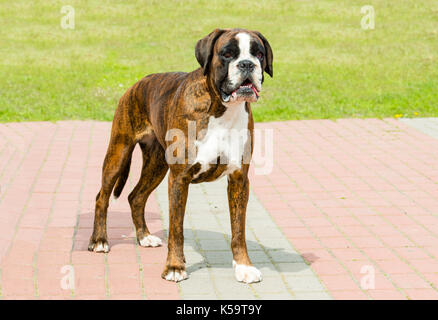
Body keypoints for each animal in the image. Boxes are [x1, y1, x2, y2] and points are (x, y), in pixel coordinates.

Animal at [88, 27, 274, 282]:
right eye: (227, 54)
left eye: (259, 54)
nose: (247, 64)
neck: (220, 108)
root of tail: (138, 83)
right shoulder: (179, 179)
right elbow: (177, 229)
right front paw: (175, 267)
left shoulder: (239, 180)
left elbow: (239, 230)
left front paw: (244, 266)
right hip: (118, 153)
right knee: (102, 197)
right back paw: (99, 241)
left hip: (156, 165)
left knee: (136, 197)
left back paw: (144, 237)